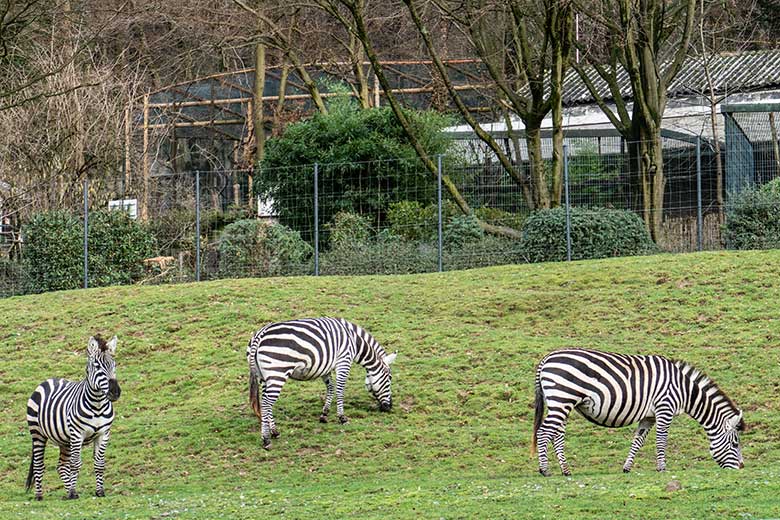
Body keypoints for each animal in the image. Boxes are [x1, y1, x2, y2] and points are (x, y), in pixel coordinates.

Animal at [26, 336, 121, 502]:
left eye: (114, 365)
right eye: (97, 366)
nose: (115, 392)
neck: (97, 405)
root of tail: (48, 380)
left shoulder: (104, 434)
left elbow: (99, 464)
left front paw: (99, 492)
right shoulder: (77, 434)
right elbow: (75, 464)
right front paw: (72, 492)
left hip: (64, 440)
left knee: (61, 466)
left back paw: (67, 492)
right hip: (37, 433)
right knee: (39, 464)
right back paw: (39, 495)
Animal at [247, 314, 396, 448]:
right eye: (389, 378)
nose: (389, 407)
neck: (354, 340)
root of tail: (259, 335)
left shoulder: (326, 367)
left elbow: (331, 388)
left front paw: (324, 414)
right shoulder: (344, 360)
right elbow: (340, 390)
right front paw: (342, 418)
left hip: (264, 377)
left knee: (265, 401)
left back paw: (275, 432)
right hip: (278, 372)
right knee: (267, 403)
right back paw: (266, 439)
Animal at [532, 350, 744, 476]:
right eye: (735, 443)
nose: (741, 468)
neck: (684, 390)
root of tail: (546, 359)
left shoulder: (648, 417)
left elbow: (638, 441)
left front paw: (627, 467)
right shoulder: (664, 408)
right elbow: (661, 441)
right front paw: (662, 468)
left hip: (560, 402)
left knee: (556, 435)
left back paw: (565, 470)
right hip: (562, 398)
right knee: (543, 433)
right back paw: (544, 469)